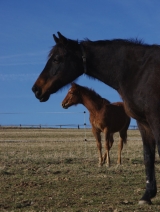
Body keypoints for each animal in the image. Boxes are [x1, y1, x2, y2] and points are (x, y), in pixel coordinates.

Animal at [32, 32, 160, 205]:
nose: (36, 89)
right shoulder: (143, 123)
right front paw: (147, 195)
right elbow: (148, 156)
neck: (137, 71)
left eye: (57, 59)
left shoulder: (154, 119)